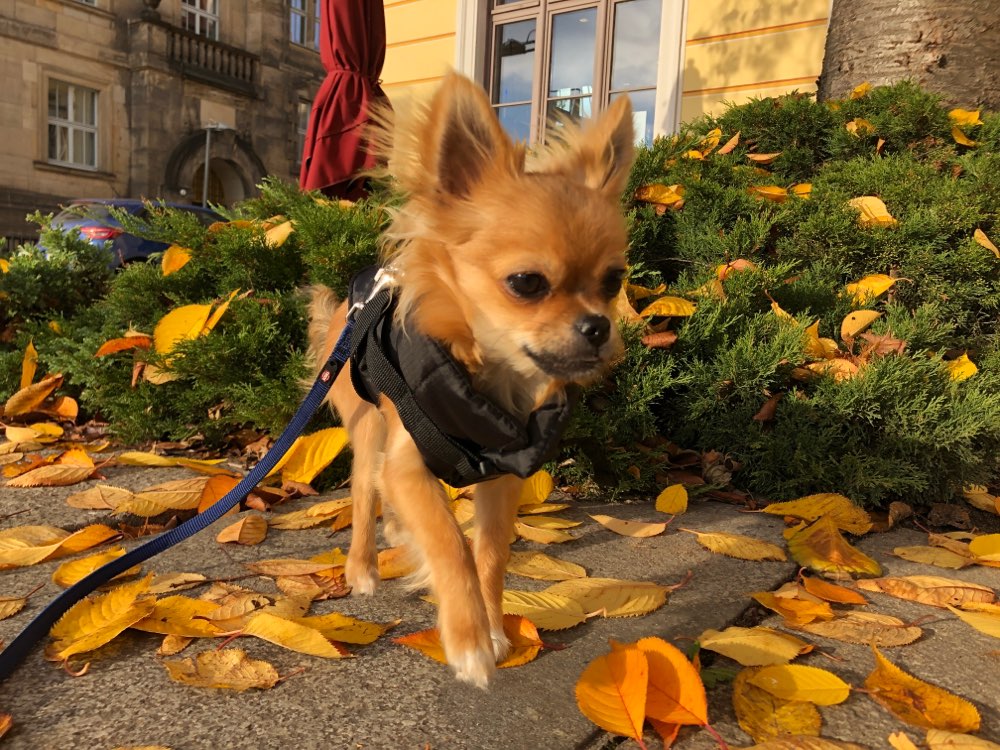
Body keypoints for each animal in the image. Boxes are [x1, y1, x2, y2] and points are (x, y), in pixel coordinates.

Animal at [308, 73, 632, 692]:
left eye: (614, 281)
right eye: (527, 283)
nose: (598, 326)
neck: (490, 384)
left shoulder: (503, 475)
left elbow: (489, 551)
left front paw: (495, 627)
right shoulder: (407, 466)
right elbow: (449, 542)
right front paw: (467, 639)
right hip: (369, 431)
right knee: (363, 494)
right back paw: (362, 566)